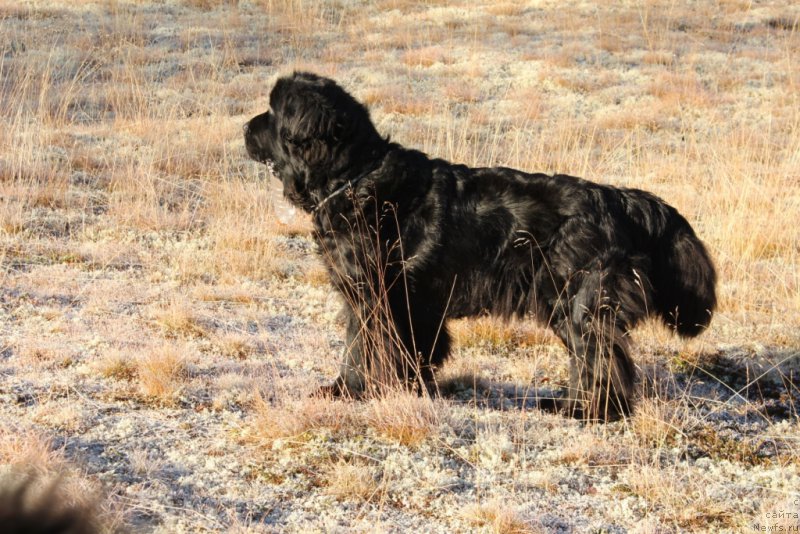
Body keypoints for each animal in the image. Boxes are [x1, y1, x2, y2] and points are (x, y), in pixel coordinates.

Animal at [245, 72, 720, 422]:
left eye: (272, 112)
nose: (245, 127)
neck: (353, 175)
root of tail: (621, 200)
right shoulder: (410, 305)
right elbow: (410, 349)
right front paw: (405, 386)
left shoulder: (373, 294)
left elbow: (360, 347)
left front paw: (350, 391)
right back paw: (568, 404)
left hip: (577, 302)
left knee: (602, 359)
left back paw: (592, 412)